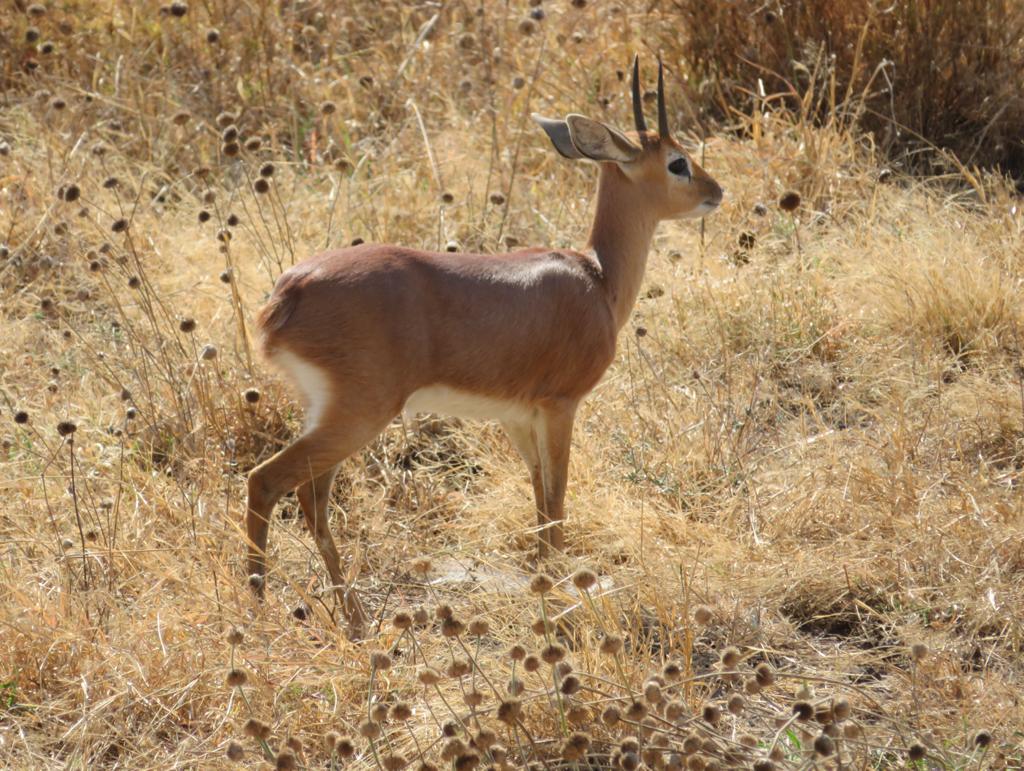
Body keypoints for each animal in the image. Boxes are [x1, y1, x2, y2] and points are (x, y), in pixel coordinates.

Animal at [246, 54, 724, 630]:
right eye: (677, 163)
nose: (716, 191)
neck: (598, 278)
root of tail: (286, 294)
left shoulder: (517, 417)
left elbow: (539, 500)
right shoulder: (560, 405)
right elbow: (557, 500)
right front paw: (559, 597)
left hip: (329, 414)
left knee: (312, 498)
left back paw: (355, 618)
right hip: (360, 414)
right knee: (266, 481)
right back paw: (260, 610)